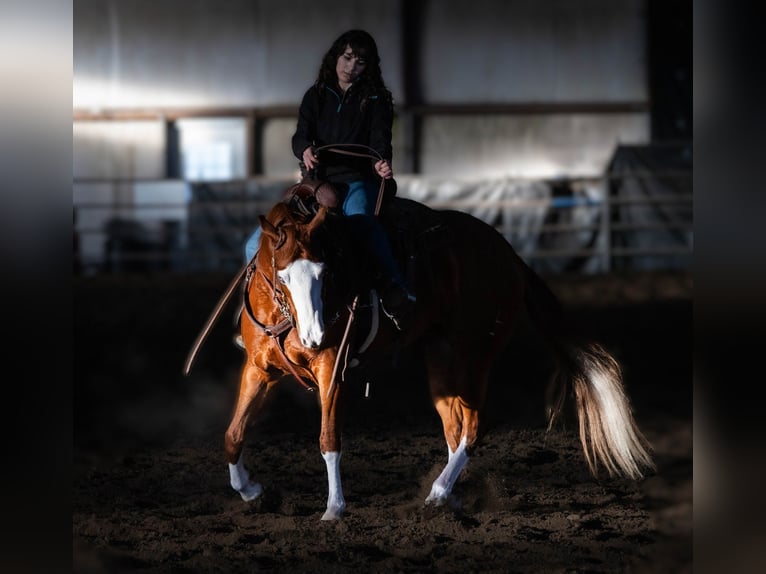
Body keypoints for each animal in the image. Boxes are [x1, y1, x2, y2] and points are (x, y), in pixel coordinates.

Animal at [223, 191, 655, 521]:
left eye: (325, 272)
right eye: (282, 275)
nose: (313, 336)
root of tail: (509, 254)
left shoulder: (332, 369)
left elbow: (329, 439)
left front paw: (334, 509)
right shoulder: (257, 370)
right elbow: (234, 434)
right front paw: (252, 492)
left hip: (475, 353)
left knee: (474, 425)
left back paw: (437, 492)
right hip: (440, 359)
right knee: (455, 425)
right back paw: (451, 494)